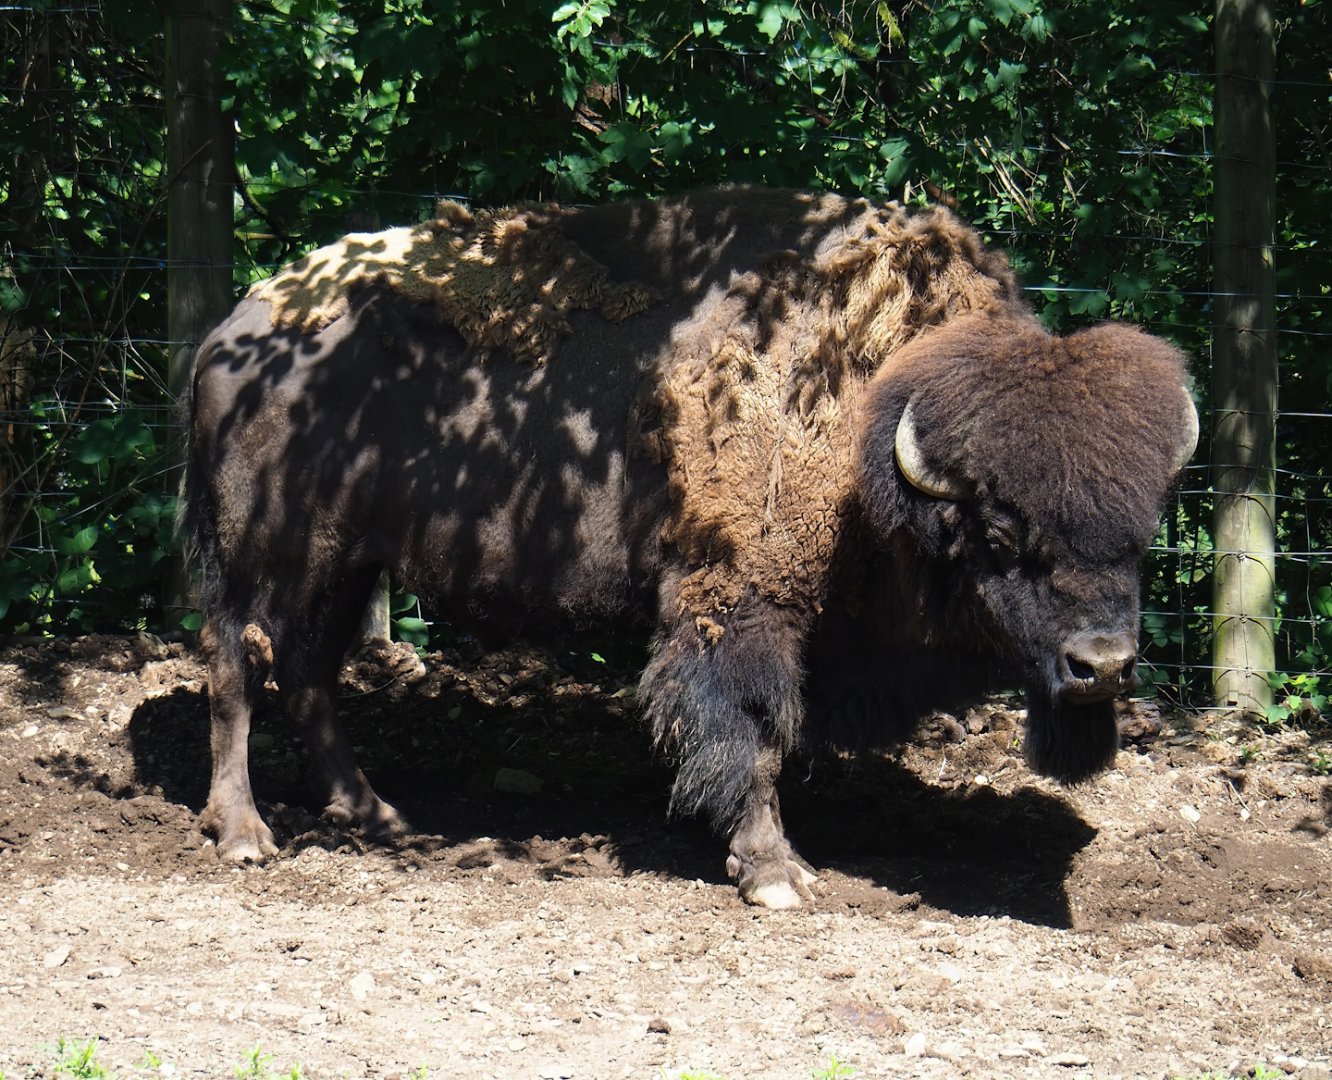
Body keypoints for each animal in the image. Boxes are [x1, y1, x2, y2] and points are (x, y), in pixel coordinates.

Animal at [184, 188, 1197, 908]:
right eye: (998, 531)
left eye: (1142, 531)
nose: (1102, 666)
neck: (873, 424)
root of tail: (231, 332)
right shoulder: (740, 607)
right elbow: (750, 730)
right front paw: (776, 872)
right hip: (268, 550)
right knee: (236, 661)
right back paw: (245, 834)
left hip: (349, 560)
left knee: (309, 671)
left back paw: (376, 813)